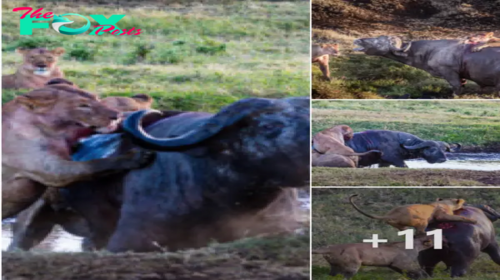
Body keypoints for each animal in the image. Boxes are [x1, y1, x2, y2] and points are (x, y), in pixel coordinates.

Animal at [1, 78, 154, 219]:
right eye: (83, 106)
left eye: (96, 98)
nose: (117, 116)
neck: (54, 133)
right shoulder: (50, 170)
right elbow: (92, 165)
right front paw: (136, 157)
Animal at [348, 195, 476, 234]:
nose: (465, 202)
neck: (444, 202)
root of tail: (392, 214)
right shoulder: (442, 215)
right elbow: (459, 217)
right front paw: (472, 220)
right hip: (421, 221)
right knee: (419, 232)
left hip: (398, 224)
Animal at [354, 35, 498, 97]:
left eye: (379, 41)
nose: (358, 40)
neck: (431, 51)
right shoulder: (460, 76)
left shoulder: (449, 72)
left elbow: (456, 88)